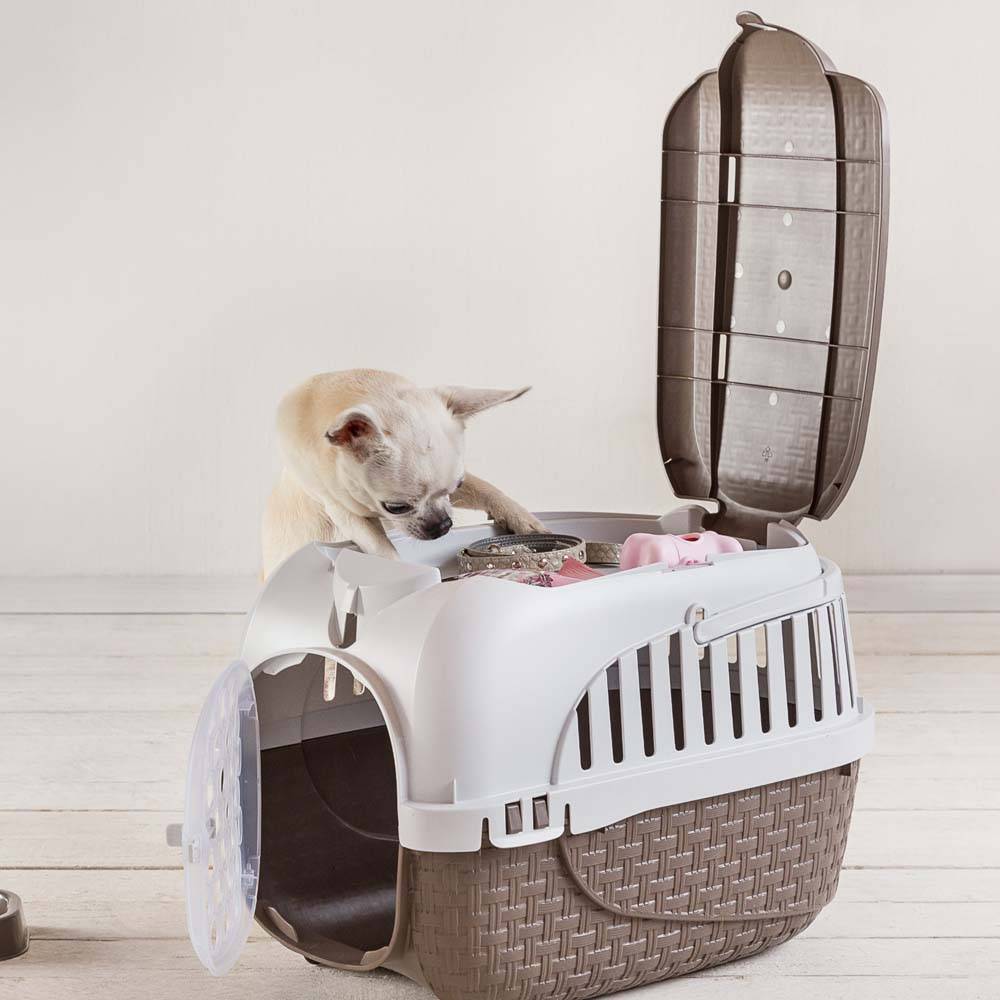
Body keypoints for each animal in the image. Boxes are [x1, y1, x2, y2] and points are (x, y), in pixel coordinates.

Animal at [261, 369, 545, 576]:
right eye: (396, 507)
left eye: (457, 485)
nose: (444, 525)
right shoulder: (343, 511)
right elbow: (382, 549)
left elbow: (485, 488)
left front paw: (521, 518)